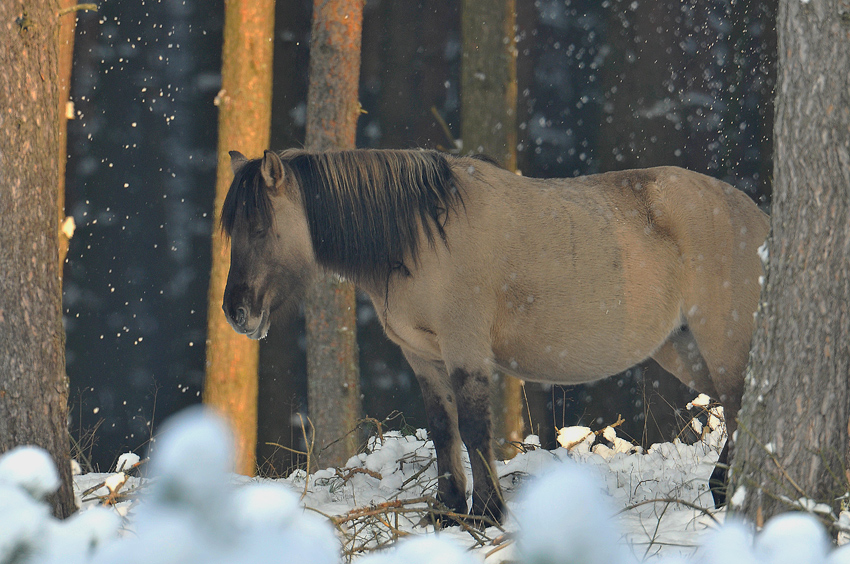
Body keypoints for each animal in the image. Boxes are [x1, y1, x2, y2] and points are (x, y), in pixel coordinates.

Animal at [220, 149, 768, 524]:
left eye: (261, 227)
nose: (235, 312)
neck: (422, 236)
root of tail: (756, 215)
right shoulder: (422, 357)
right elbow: (444, 430)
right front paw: (446, 512)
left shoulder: (465, 351)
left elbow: (474, 429)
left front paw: (486, 514)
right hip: (682, 346)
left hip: (720, 342)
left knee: (741, 405)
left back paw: (728, 493)